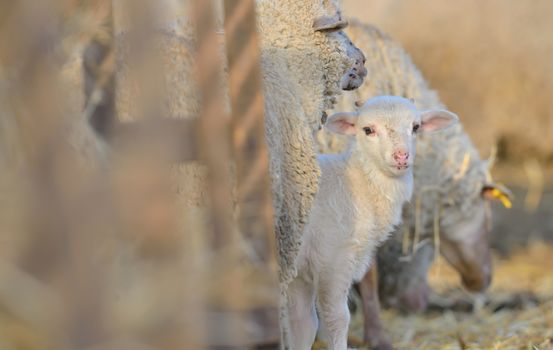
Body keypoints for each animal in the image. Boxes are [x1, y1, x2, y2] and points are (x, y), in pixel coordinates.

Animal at [286, 95, 454, 350]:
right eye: (368, 130)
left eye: (415, 127)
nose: (401, 156)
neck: (359, 182)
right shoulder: (332, 259)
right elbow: (336, 318)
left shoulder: (301, 269)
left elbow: (303, 324)